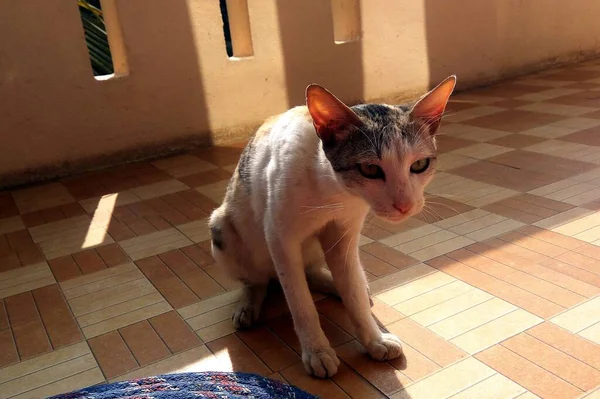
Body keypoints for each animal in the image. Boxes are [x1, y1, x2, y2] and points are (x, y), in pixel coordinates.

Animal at [209, 75, 458, 378]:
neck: (334, 191)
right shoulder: (279, 237)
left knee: (314, 274)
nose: (405, 205)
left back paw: (342, 285)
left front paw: (373, 339)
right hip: (224, 230)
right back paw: (248, 305)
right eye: (370, 169)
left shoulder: (344, 234)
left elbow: (352, 290)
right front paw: (317, 351)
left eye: (420, 164)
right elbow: (300, 301)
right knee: (260, 280)